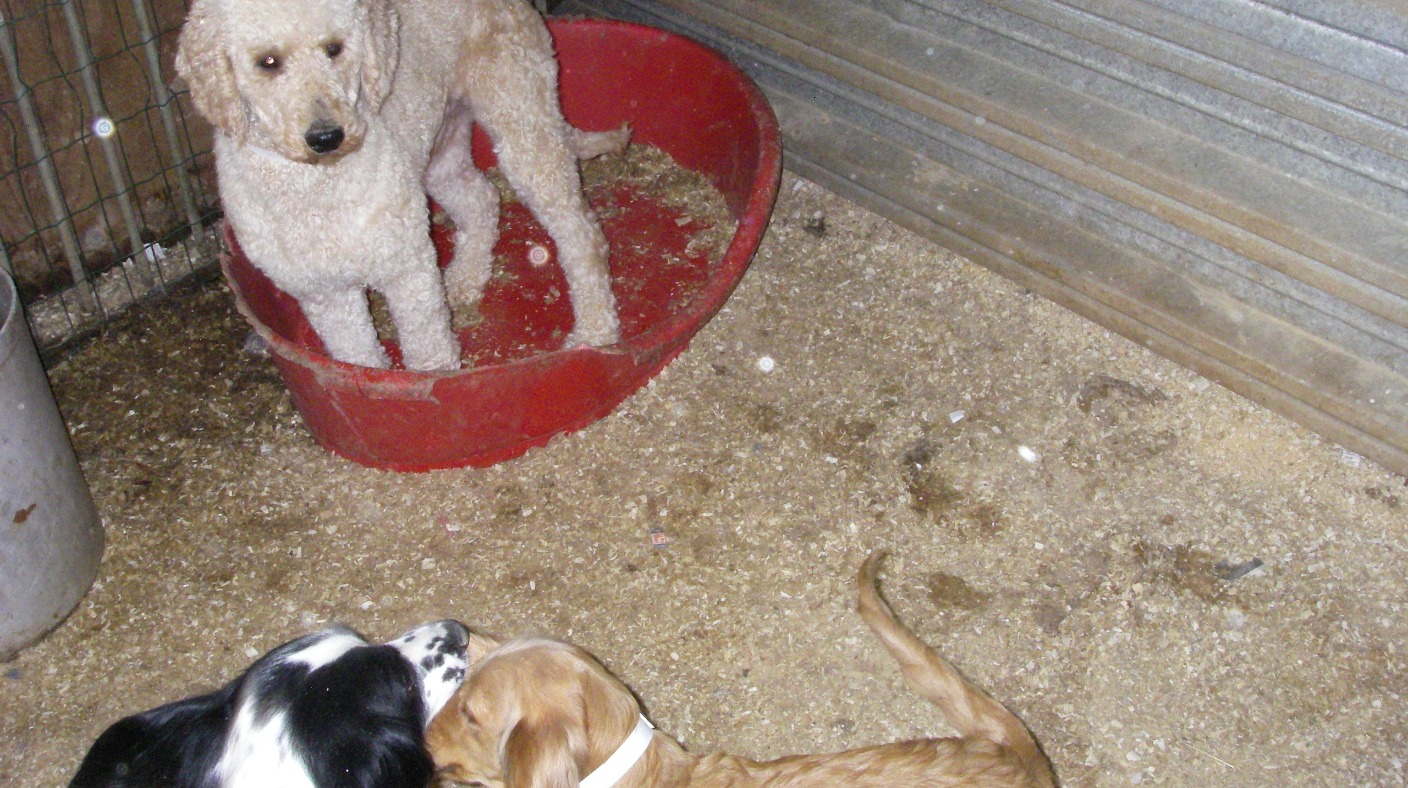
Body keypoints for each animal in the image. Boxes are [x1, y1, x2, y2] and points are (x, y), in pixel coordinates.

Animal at [175, 0, 628, 371]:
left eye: (334, 48)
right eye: (267, 61)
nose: (327, 136)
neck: (316, 187)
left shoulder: (407, 266)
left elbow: (429, 353)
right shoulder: (324, 294)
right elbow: (358, 357)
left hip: (520, 116)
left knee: (582, 234)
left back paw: (594, 331)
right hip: (437, 147)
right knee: (481, 198)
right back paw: (463, 280)